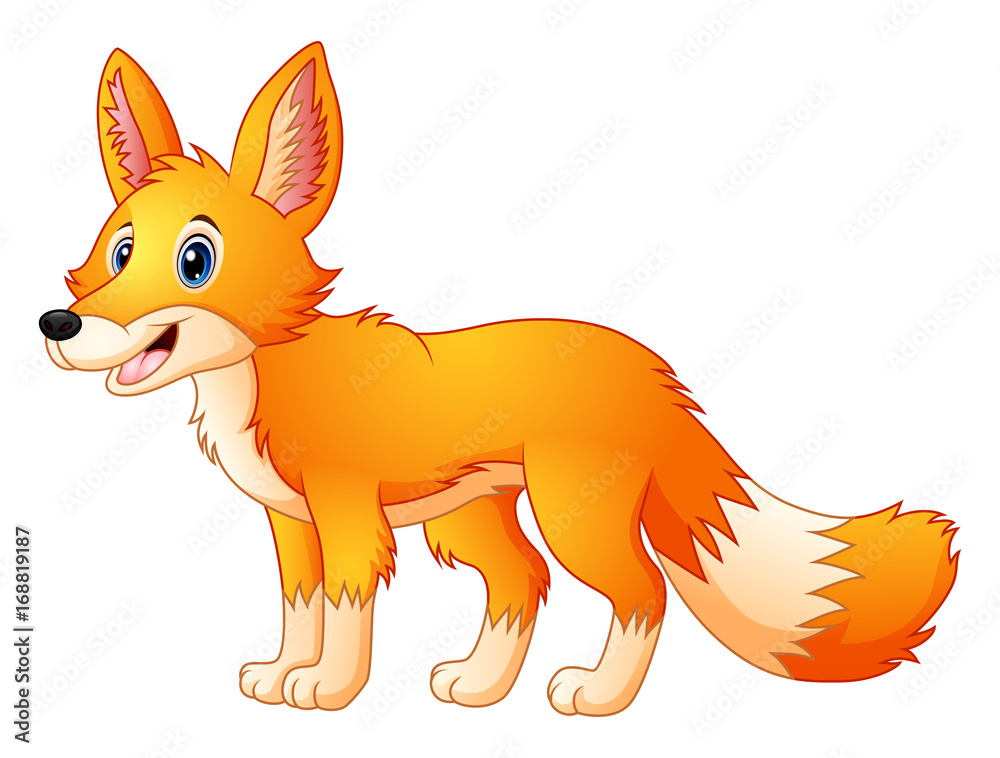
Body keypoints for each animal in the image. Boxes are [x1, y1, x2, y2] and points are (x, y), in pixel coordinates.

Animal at [39, 42, 959, 716]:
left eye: (195, 261)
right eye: (118, 250)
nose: (58, 326)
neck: (263, 379)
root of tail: (654, 371)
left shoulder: (347, 510)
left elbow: (344, 606)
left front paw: (329, 689)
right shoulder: (291, 521)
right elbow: (301, 604)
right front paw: (278, 675)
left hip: (569, 515)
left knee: (643, 591)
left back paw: (598, 697)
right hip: (471, 515)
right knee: (523, 583)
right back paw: (479, 687)